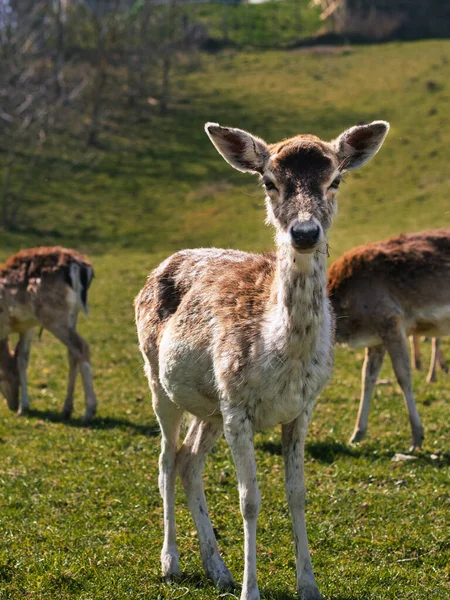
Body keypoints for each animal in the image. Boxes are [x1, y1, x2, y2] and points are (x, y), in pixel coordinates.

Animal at [0, 244, 97, 422]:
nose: (12, 404)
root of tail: (81, 267)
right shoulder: (28, 325)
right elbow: (22, 358)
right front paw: (24, 407)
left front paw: (22, 407)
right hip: (72, 315)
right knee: (72, 353)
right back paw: (66, 409)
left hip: (52, 315)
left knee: (81, 347)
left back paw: (89, 411)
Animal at [134, 119, 390, 596]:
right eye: (269, 181)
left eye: (335, 179)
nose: (305, 233)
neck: (281, 356)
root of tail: (161, 265)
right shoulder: (238, 407)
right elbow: (249, 499)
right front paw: (250, 590)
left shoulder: (302, 407)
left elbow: (297, 494)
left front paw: (309, 586)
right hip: (158, 378)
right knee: (165, 460)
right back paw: (171, 562)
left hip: (209, 405)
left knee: (189, 461)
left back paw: (218, 569)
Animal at [326, 230, 450, 450]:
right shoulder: (375, 337)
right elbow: (367, 377)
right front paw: (356, 434)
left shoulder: (390, 319)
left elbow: (403, 376)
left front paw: (416, 437)